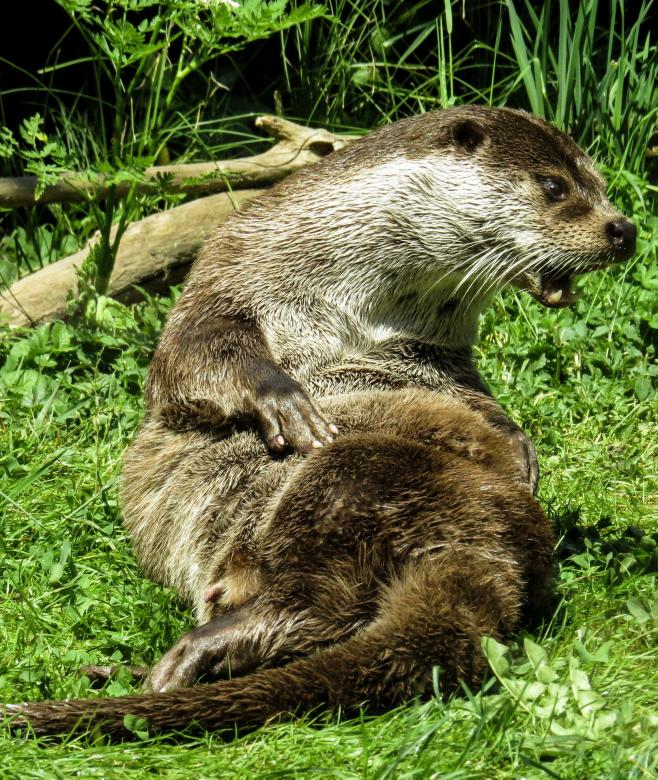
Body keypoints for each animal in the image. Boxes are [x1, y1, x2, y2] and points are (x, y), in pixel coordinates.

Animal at [4, 106, 636, 738]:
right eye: (555, 186)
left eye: (601, 183)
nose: (623, 229)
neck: (351, 297)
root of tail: (480, 549)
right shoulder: (232, 264)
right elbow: (195, 354)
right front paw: (285, 400)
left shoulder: (437, 355)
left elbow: (475, 401)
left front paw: (520, 446)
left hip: (357, 483)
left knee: (316, 602)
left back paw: (183, 656)